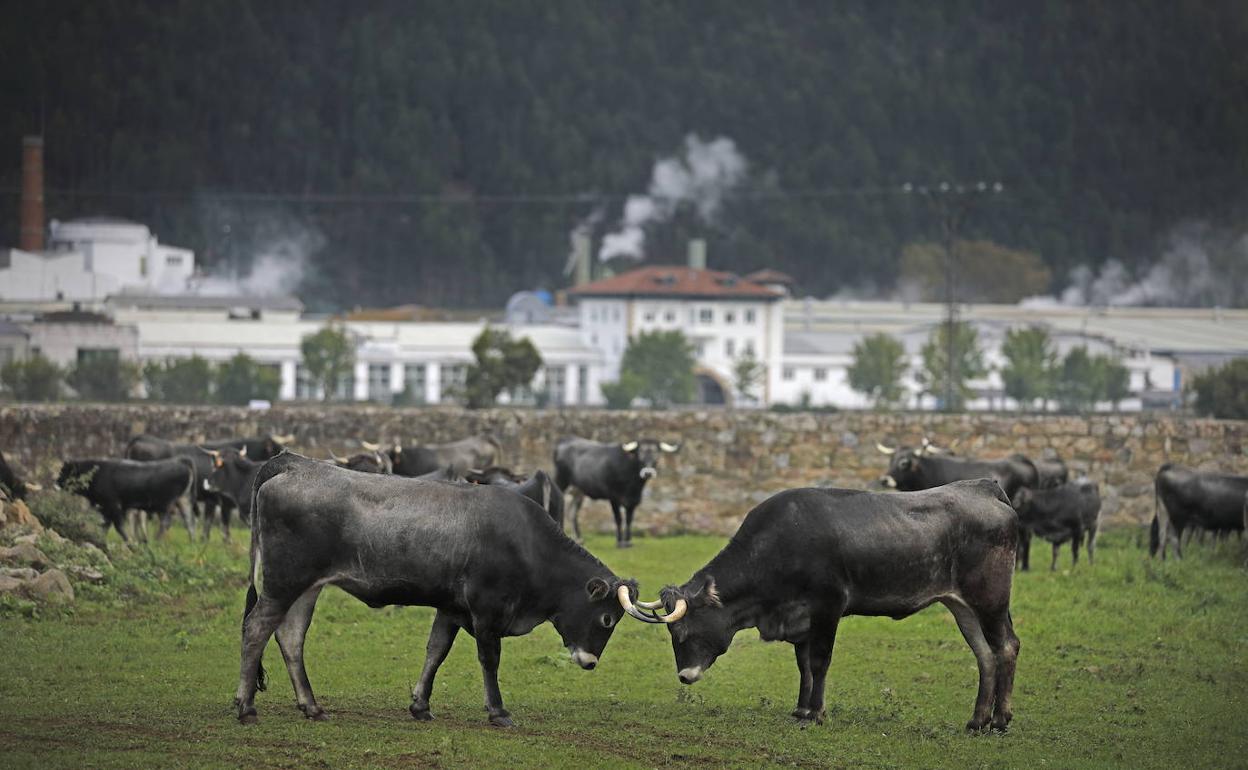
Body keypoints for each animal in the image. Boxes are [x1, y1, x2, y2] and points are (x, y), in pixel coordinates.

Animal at [58, 456, 197, 541]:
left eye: (64, 471)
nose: (57, 481)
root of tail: (181, 461)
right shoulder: (110, 509)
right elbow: (106, 526)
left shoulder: (113, 506)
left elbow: (118, 526)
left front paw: (130, 542)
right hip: (182, 502)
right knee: (189, 522)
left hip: (165, 505)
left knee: (166, 523)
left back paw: (155, 541)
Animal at [624, 484, 1023, 728]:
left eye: (683, 631)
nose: (684, 676)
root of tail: (983, 487)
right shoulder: (801, 619)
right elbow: (803, 664)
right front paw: (801, 709)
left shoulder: (828, 606)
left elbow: (819, 661)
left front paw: (816, 712)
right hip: (963, 607)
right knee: (984, 654)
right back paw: (977, 720)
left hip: (990, 600)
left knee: (1005, 647)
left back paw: (1000, 720)